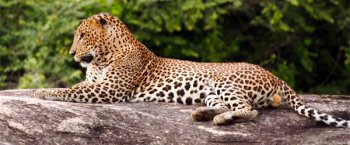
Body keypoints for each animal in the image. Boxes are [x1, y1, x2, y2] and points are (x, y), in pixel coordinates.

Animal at [34, 13, 350, 127]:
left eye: (82, 35)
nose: (72, 53)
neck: (102, 57)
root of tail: (273, 74)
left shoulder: (110, 90)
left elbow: (68, 91)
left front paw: (41, 92)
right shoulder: (96, 84)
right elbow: (74, 87)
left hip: (226, 81)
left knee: (249, 110)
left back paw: (220, 120)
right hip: (211, 91)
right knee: (229, 105)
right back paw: (202, 114)